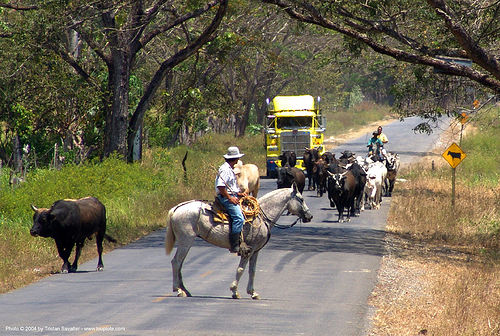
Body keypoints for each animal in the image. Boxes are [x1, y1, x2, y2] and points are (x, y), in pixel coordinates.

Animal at [166, 185, 310, 300]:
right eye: (301, 199)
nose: (310, 216)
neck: (262, 217)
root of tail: (176, 208)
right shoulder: (248, 250)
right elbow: (241, 269)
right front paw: (235, 291)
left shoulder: (256, 251)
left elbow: (252, 271)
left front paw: (253, 293)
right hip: (186, 241)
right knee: (176, 262)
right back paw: (178, 290)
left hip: (185, 243)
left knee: (180, 264)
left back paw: (185, 290)